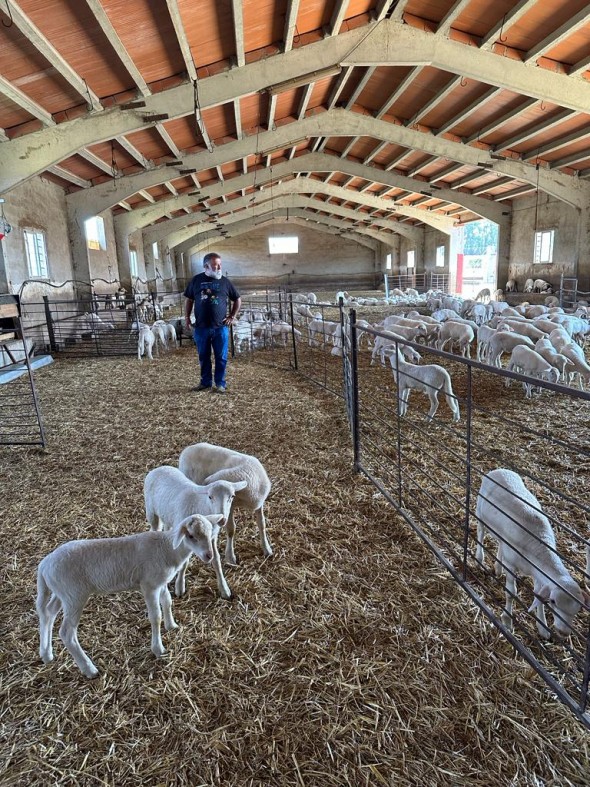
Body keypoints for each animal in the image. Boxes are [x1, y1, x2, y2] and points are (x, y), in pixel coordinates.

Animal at [35, 516, 224, 676]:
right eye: (190, 536)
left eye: (210, 534)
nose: (209, 555)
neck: (168, 548)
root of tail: (44, 565)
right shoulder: (149, 586)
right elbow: (156, 616)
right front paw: (158, 649)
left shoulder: (160, 582)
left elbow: (167, 602)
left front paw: (172, 625)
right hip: (74, 595)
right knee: (67, 632)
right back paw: (89, 669)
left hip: (62, 593)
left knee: (48, 613)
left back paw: (46, 654)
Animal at [145, 464, 249, 600]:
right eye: (210, 497)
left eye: (232, 496)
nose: (222, 519)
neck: (202, 505)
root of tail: (160, 467)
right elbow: (184, 563)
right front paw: (180, 587)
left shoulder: (211, 537)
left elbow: (216, 560)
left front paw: (224, 589)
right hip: (151, 513)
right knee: (155, 528)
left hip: (167, 515)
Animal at [476, 468, 590, 640]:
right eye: (554, 601)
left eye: (578, 609)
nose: (563, 632)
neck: (539, 545)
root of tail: (499, 469)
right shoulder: (512, 564)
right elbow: (511, 593)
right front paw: (507, 621)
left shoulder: (539, 575)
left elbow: (539, 597)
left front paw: (542, 628)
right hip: (480, 511)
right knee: (481, 532)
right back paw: (479, 558)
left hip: (503, 535)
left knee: (501, 545)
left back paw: (498, 568)